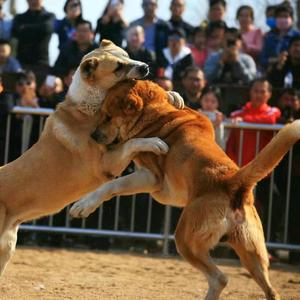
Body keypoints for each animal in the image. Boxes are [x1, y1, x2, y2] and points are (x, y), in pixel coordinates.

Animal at [71, 79, 300, 300]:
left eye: (108, 117)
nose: (93, 136)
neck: (156, 115)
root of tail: (233, 181)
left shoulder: (150, 178)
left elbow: (111, 186)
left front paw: (83, 205)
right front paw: (175, 97)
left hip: (186, 240)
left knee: (220, 278)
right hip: (252, 252)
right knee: (270, 290)